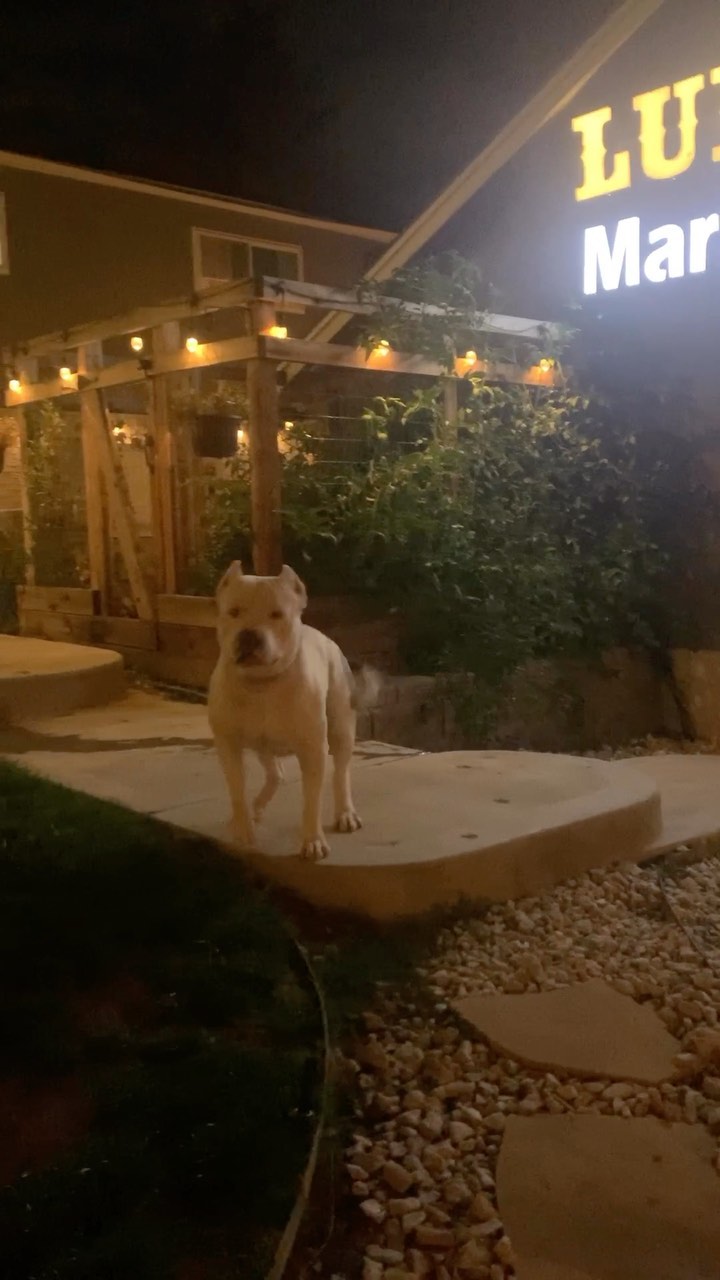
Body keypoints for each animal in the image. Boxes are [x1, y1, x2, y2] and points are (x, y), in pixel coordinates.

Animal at [208, 561, 379, 860]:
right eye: (234, 612)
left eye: (277, 614)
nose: (249, 634)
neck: (261, 684)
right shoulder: (228, 746)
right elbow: (237, 791)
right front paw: (242, 829)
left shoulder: (313, 750)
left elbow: (311, 800)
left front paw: (313, 840)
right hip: (263, 744)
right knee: (275, 774)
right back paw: (256, 808)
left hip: (341, 730)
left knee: (341, 774)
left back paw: (345, 813)